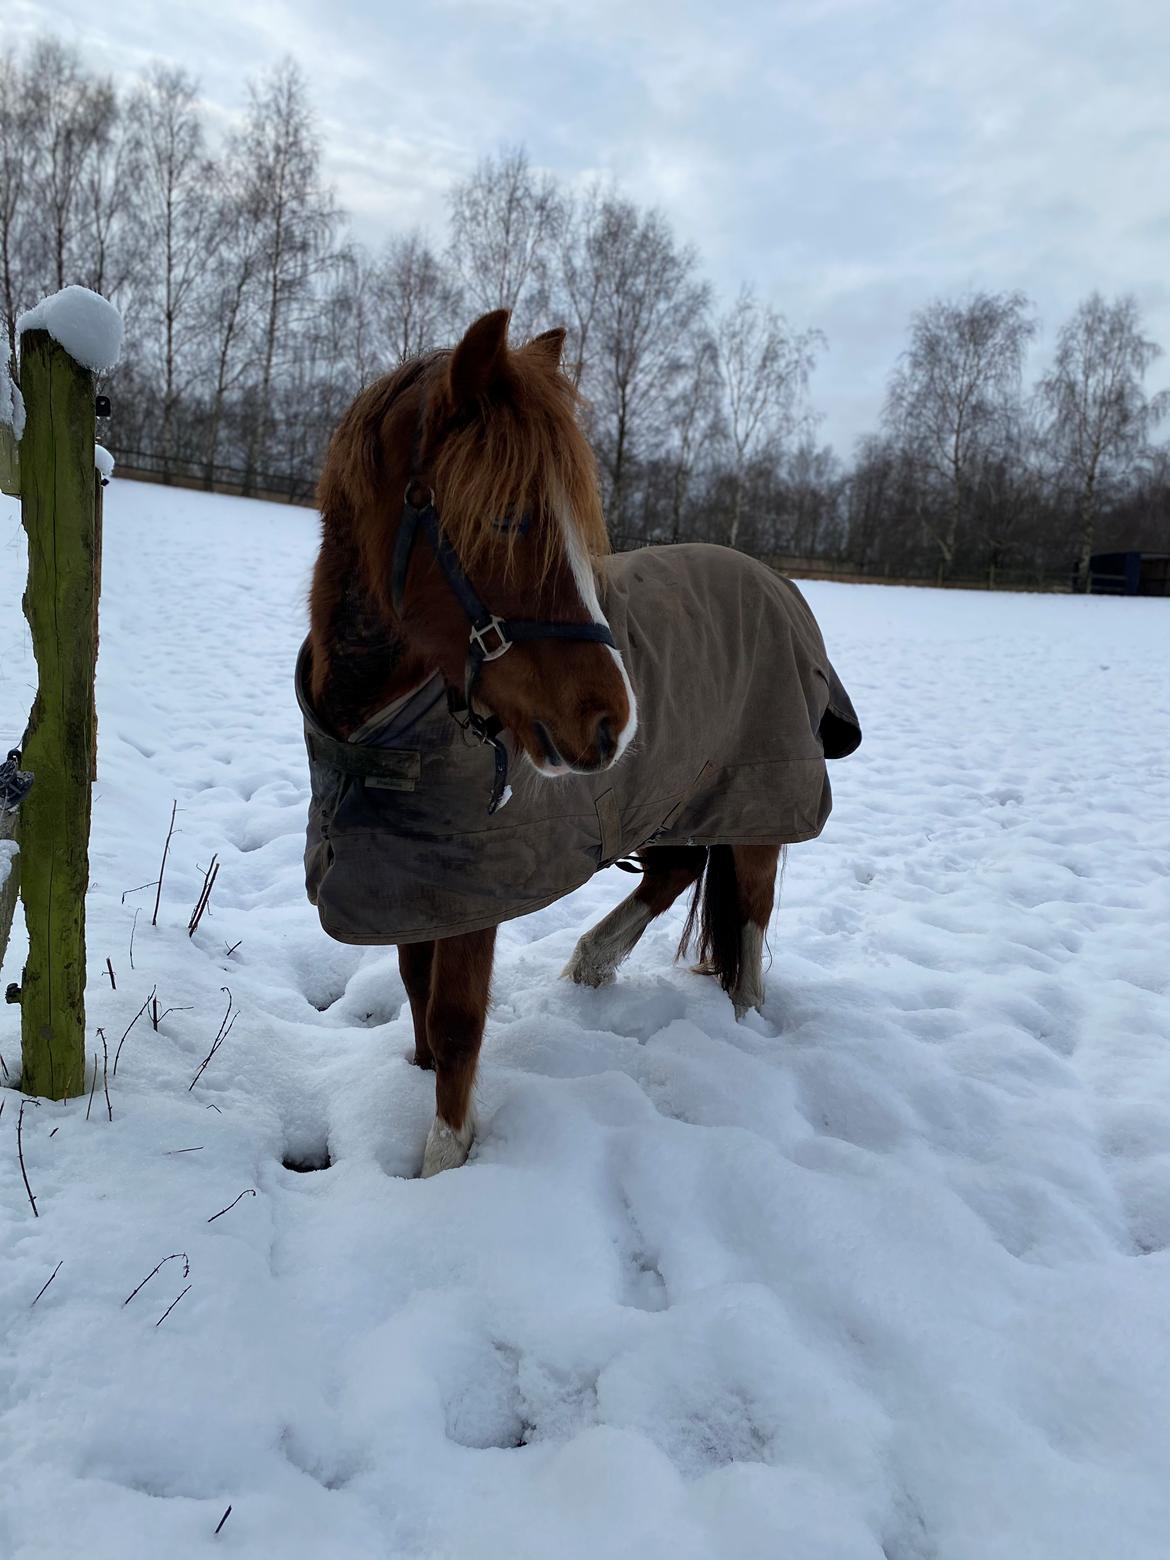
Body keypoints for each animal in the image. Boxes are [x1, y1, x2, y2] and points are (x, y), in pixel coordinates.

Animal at [308, 310, 780, 1173]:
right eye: (506, 517)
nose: (613, 721)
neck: (373, 740)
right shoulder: (413, 893)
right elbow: (420, 1004)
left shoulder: (470, 898)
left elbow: (457, 1026)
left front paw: (445, 1164)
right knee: (676, 870)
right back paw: (591, 960)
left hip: (757, 801)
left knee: (750, 914)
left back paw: (741, 1018)